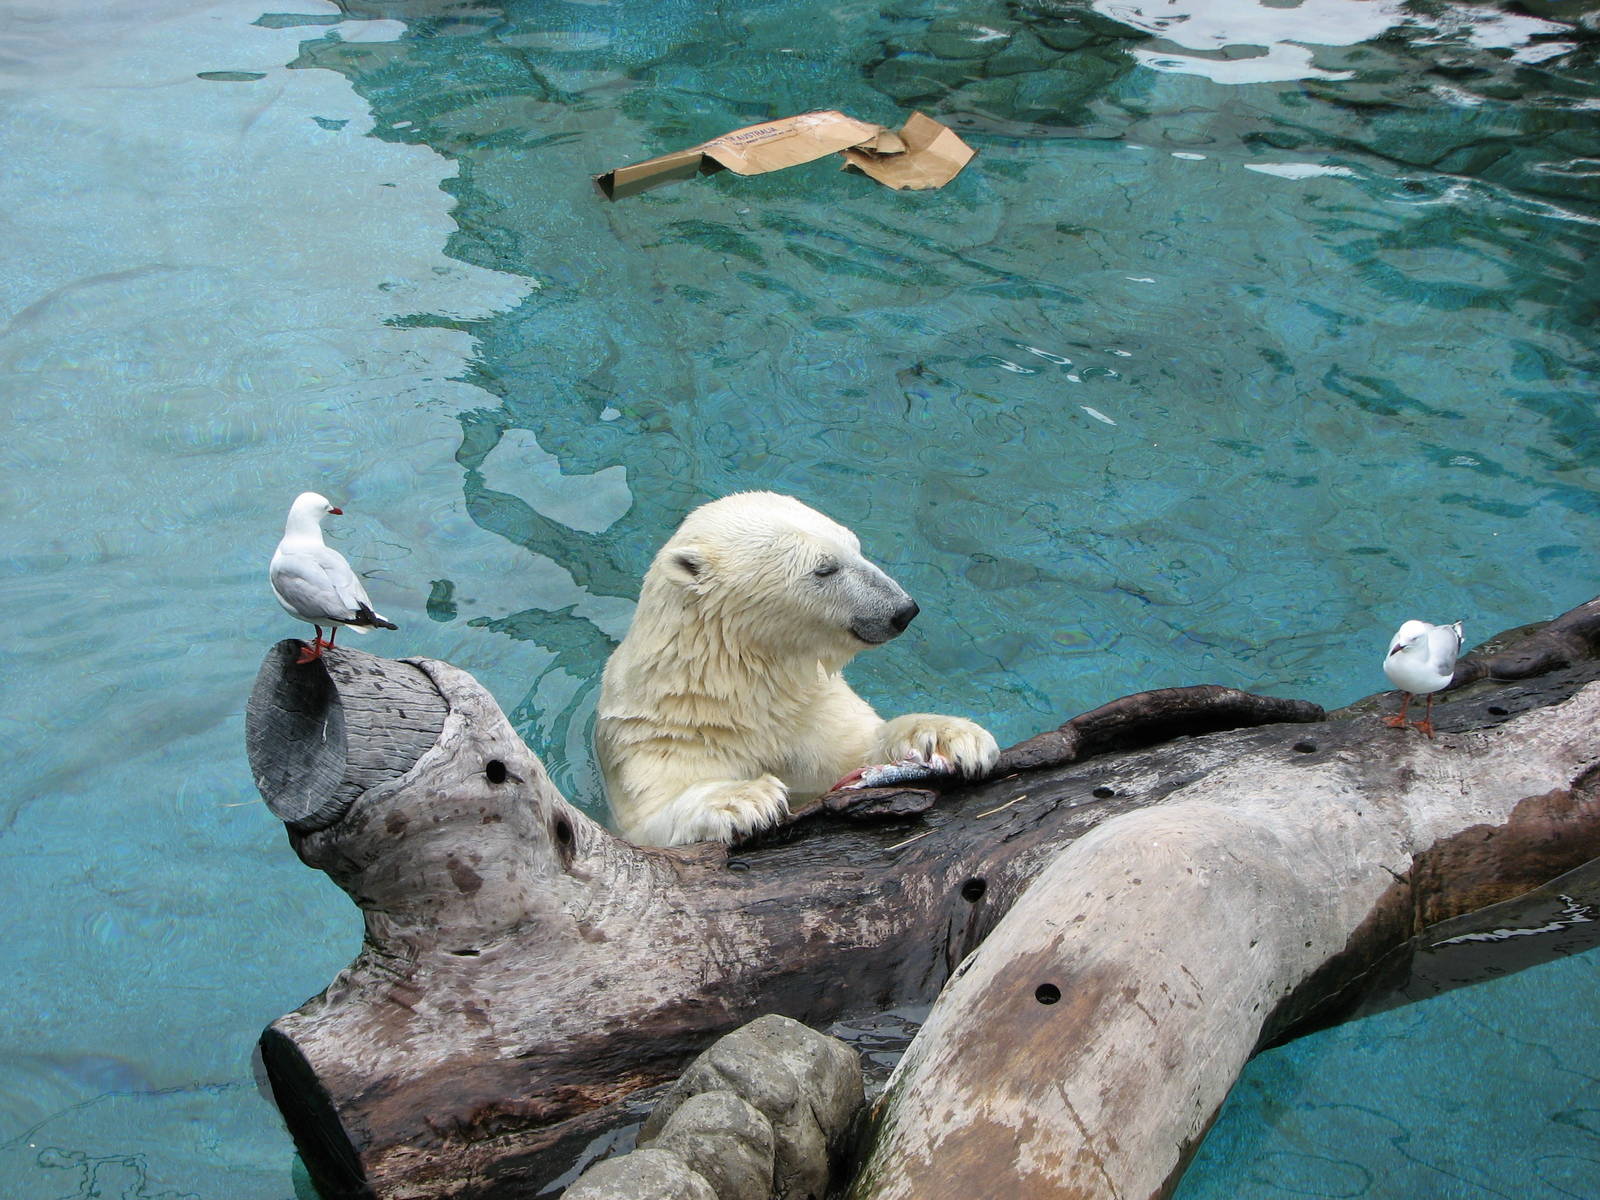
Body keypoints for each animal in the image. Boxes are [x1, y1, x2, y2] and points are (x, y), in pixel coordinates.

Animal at [596, 491, 1000, 847]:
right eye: (825, 568)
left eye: (856, 546)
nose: (903, 610)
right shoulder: (659, 734)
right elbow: (651, 819)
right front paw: (744, 798)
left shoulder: (812, 711)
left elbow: (858, 750)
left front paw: (951, 736)